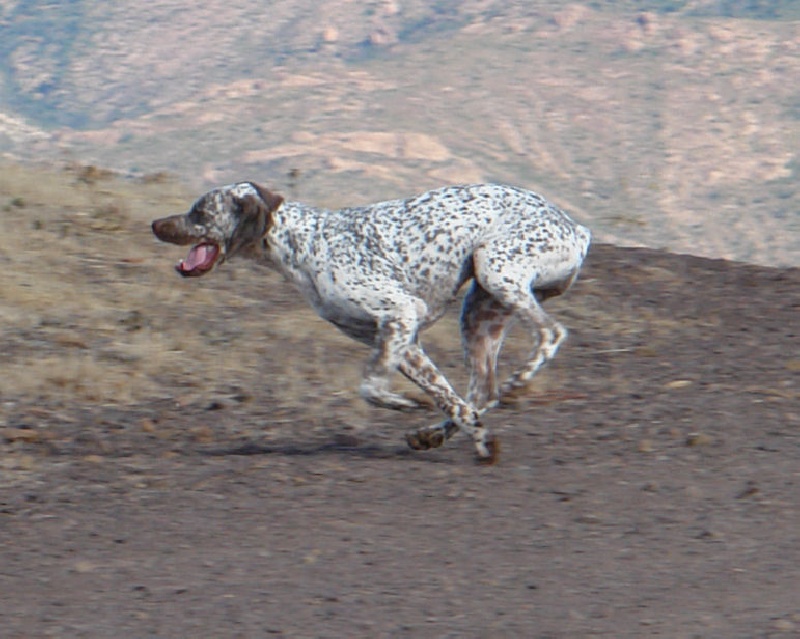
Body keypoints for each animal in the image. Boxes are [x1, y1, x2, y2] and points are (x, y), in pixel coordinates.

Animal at [152, 182, 588, 462]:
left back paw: (517, 382)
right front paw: (474, 436)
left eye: (200, 212)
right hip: (480, 314)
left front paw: (401, 402)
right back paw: (435, 435)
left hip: (497, 271)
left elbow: (371, 387)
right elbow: (447, 398)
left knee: (550, 335)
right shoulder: (402, 341)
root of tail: (577, 229)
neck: (304, 242)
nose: (155, 225)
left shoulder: (403, 314)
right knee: (480, 391)